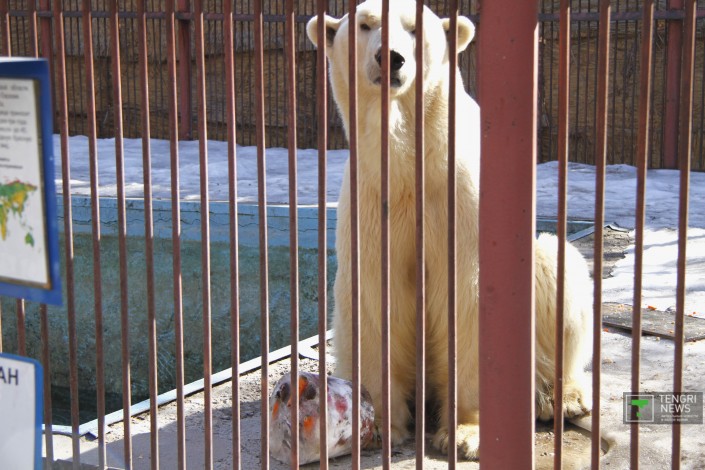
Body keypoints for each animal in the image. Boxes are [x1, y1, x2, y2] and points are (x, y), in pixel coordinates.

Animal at [306, 0, 592, 459]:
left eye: (414, 27)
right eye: (365, 24)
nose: (390, 58)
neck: (409, 160)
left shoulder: (457, 192)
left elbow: (467, 295)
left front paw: (465, 432)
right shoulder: (371, 197)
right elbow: (374, 294)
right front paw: (381, 425)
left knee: (558, 268)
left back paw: (562, 398)